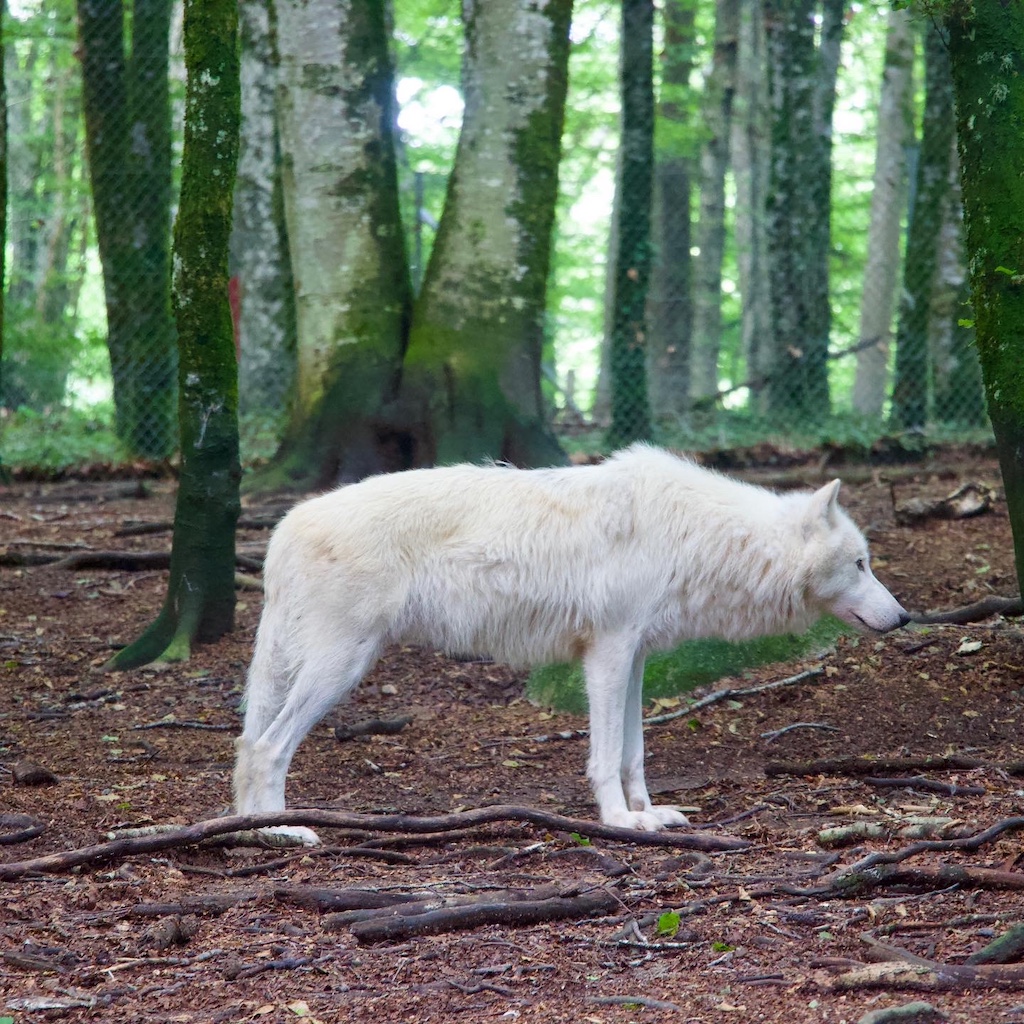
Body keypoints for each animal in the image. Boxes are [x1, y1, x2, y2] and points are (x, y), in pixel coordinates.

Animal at [233, 445, 909, 844]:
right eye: (860, 563)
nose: (904, 617)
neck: (699, 536)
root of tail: (286, 524)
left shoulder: (636, 657)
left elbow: (636, 754)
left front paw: (648, 814)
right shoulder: (606, 654)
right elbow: (606, 757)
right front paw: (617, 822)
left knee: (246, 746)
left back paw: (247, 831)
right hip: (342, 667)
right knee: (266, 749)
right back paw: (281, 834)